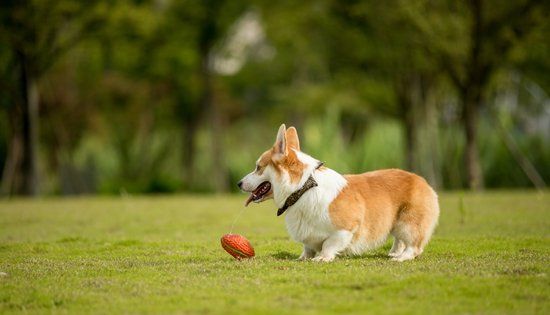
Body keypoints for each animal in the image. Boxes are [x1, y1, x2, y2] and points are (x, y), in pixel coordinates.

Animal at [239, 124, 442, 262]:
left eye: (258, 167)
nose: (238, 183)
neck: (304, 188)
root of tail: (422, 181)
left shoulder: (346, 228)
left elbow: (329, 244)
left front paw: (322, 257)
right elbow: (307, 247)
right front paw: (303, 258)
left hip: (408, 223)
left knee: (414, 245)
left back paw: (401, 257)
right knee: (399, 240)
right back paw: (394, 252)